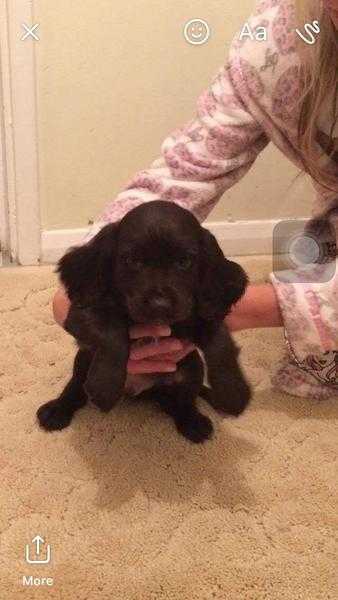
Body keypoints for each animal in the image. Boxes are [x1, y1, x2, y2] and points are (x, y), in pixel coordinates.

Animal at [37, 200, 251, 440]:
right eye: (132, 260)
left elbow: (221, 341)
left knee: (180, 402)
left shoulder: (204, 313)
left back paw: (193, 422)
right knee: (75, 387)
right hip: (84, 358)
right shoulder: (82, 312)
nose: (160, 305)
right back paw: (58, 409)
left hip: (191, 367)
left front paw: (232, 391)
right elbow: (113, 331)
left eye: (184, 261)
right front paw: (105, 385)